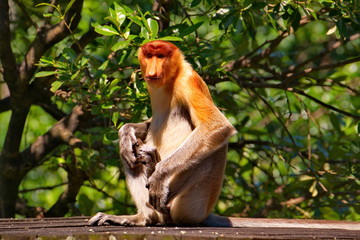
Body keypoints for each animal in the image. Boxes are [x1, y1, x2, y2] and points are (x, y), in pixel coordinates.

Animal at [88, 39, 238, 227]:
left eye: (160, 56)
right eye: (149, 55)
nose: (153, 70)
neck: (171, 80)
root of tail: (206, 214)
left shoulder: (188, 80)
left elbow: (217, 126)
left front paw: (158, 178)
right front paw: (125, 133)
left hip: (194, 204)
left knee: (213, 147)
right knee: (131, 156)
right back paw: (143, 215)